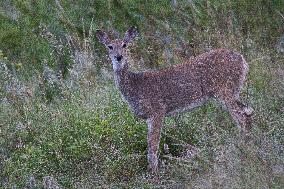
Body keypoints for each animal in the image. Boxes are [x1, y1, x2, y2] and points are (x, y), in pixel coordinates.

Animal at [96, 26, 253, 173]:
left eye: (124, 45)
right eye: (109, 46)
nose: (118, 57)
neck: (135, 85)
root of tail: (243, 61)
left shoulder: (157, 111)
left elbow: (153, 145)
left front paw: (153, 172)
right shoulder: (149, 117)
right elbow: (150, 143)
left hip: (225, 90)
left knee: (242, 116)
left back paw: (243, 149)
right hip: (232, 92)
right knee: (248, 111)